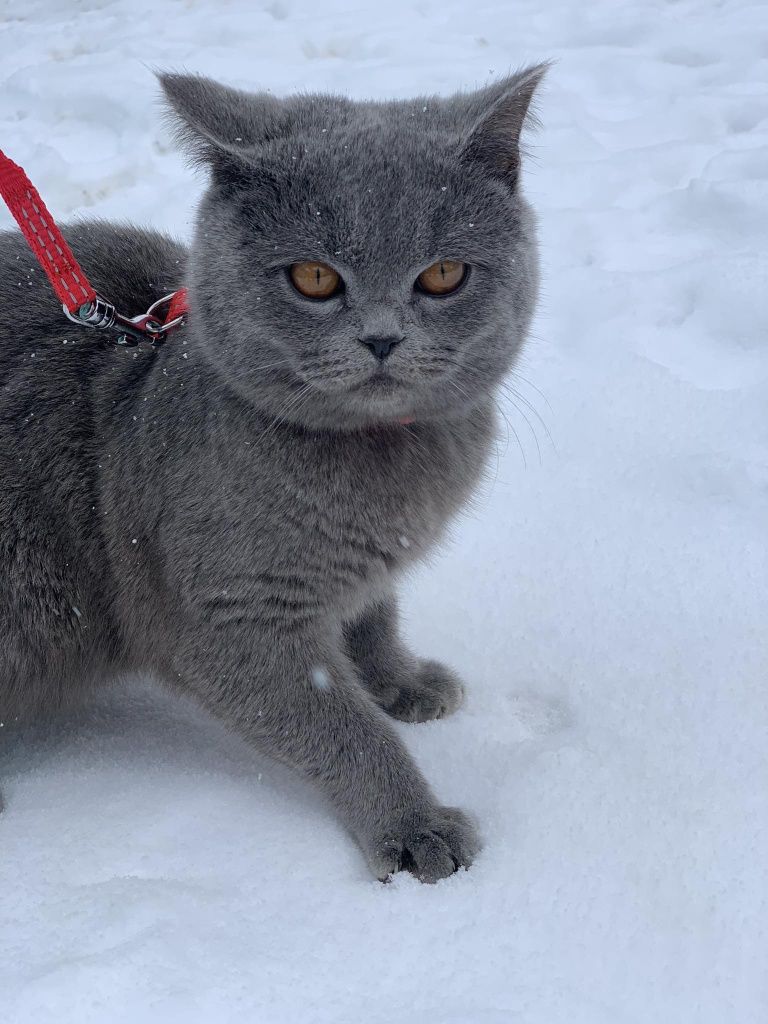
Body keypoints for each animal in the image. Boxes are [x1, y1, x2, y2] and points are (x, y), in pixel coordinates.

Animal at [0, 66, 548, 880]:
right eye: (314, 278)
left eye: (444, 275)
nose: (382, 338)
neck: (379, 464)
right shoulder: (227, 614)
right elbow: (340, 723)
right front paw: (416, 828)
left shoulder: (361, 568)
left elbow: (374, 611)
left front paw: (402, 682)